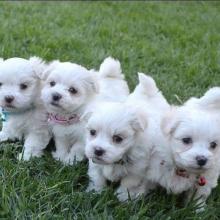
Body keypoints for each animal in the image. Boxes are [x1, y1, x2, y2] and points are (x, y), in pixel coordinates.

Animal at [84, 73, 168, 201]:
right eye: (92, 132)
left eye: (118, 139)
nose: (98, 150)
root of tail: (149, 92)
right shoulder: (95, 164)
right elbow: (97, 178)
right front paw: (95, 192)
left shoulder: (136, 170)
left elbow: (128, 183)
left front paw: (123, 197)